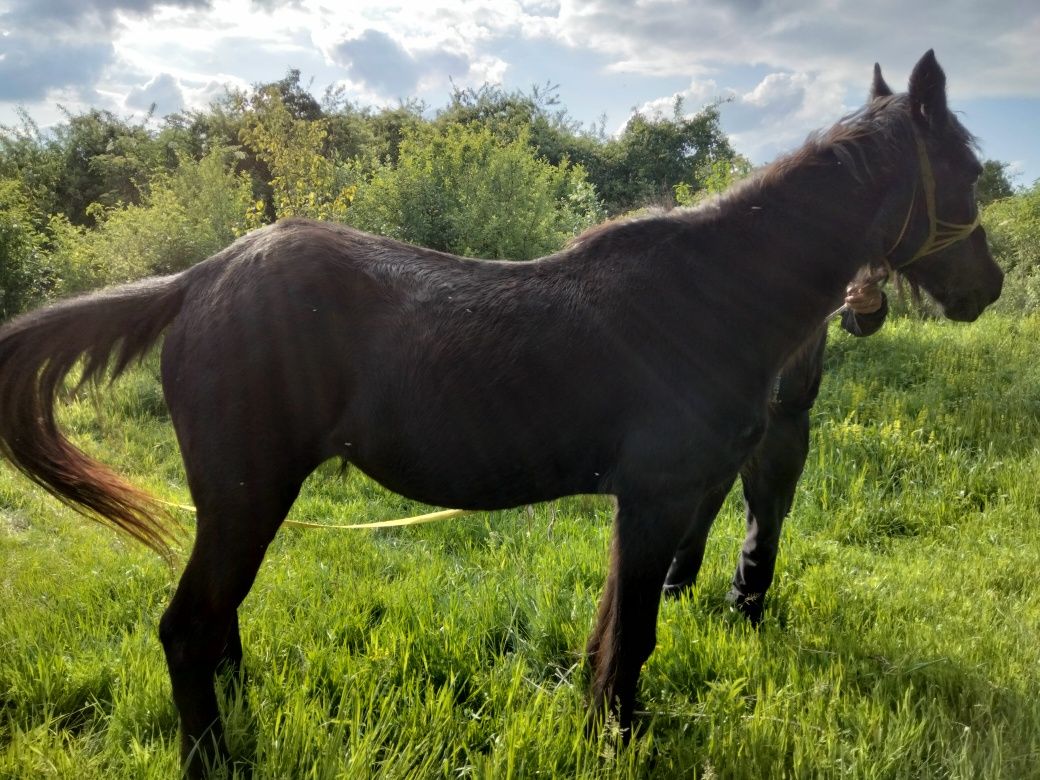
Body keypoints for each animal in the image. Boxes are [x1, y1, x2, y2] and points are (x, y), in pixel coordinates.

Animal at [0, 52, 1002, 777]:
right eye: (965, 169)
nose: (987, 286)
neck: (711, 294)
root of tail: (200, 279)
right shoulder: (656, 501)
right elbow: (631, 639)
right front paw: (620, 741)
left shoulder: (658, 504)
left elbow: (612, 636)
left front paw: (604, 730)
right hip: (248, 496)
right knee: (187, 629)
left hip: (238, 504)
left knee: (217, 626)